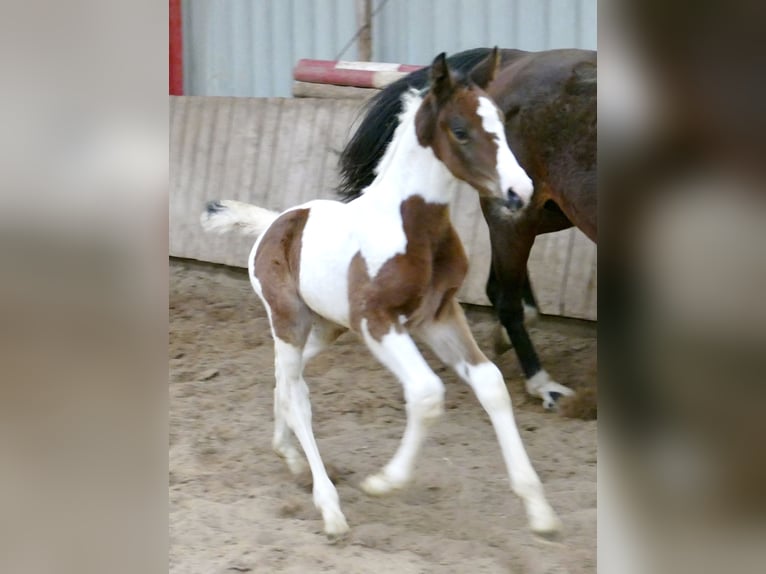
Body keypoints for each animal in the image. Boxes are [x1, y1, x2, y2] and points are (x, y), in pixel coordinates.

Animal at [200, 49, 561, 539]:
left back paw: (289, 456)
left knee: (285, 380)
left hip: (328, 327)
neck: (412, 228)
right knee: (298, 394)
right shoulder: (378, 322)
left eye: (502, 124)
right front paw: (385, 482)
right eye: (460, 130)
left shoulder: (439, 315)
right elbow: (426, 392)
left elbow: (490, 384)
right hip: (289, 320)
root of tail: (275, 222)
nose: (518, 192)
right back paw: (330, 508)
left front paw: (539, 509)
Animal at [338, 48, 597, 410]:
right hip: (521, 211)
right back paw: (543, 385)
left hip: (547, 209)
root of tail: (521, 58)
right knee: (506, 299)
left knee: (501, 287)